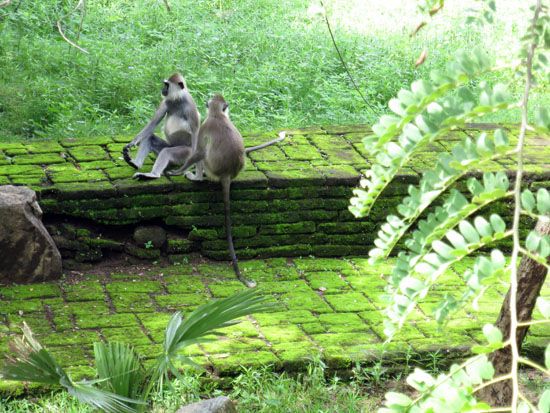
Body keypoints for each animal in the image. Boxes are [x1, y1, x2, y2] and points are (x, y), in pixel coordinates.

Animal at [169, 93, 288, 286]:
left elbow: (197, 151)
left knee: (202, 154)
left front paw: (178, 171)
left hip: (211, 168)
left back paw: (197, 176)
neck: (218, 115)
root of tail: (227, 174)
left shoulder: (204, 126)